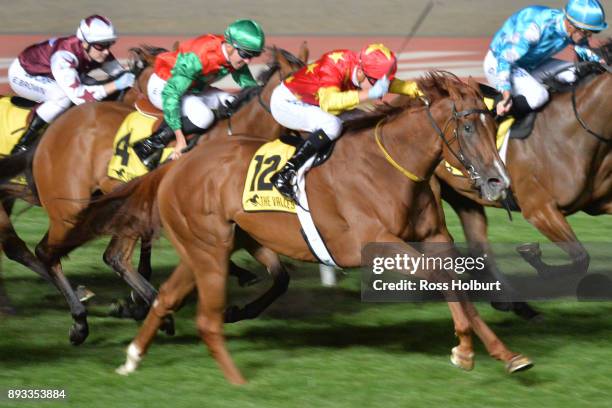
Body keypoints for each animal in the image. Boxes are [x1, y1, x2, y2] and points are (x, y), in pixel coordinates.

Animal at [0, 46, 308, 342]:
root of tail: (51, 133)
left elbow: (280, 277)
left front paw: (236, 309)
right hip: (69, 209)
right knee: (47, 251)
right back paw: (80, 317)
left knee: (110, 256)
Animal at [58, 72, 536, 382]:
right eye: (469, 125)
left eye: (494, 122)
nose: (499, 182)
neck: (389, 166)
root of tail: (177, 163)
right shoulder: (376, 244)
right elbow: (442, 280)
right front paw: (466, 349)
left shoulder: (434, 237)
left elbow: (458, 285)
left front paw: (502, 353)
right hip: (209, 249)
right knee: (196, 310)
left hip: (208, 247)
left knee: (166, 299)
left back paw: (132, 358)